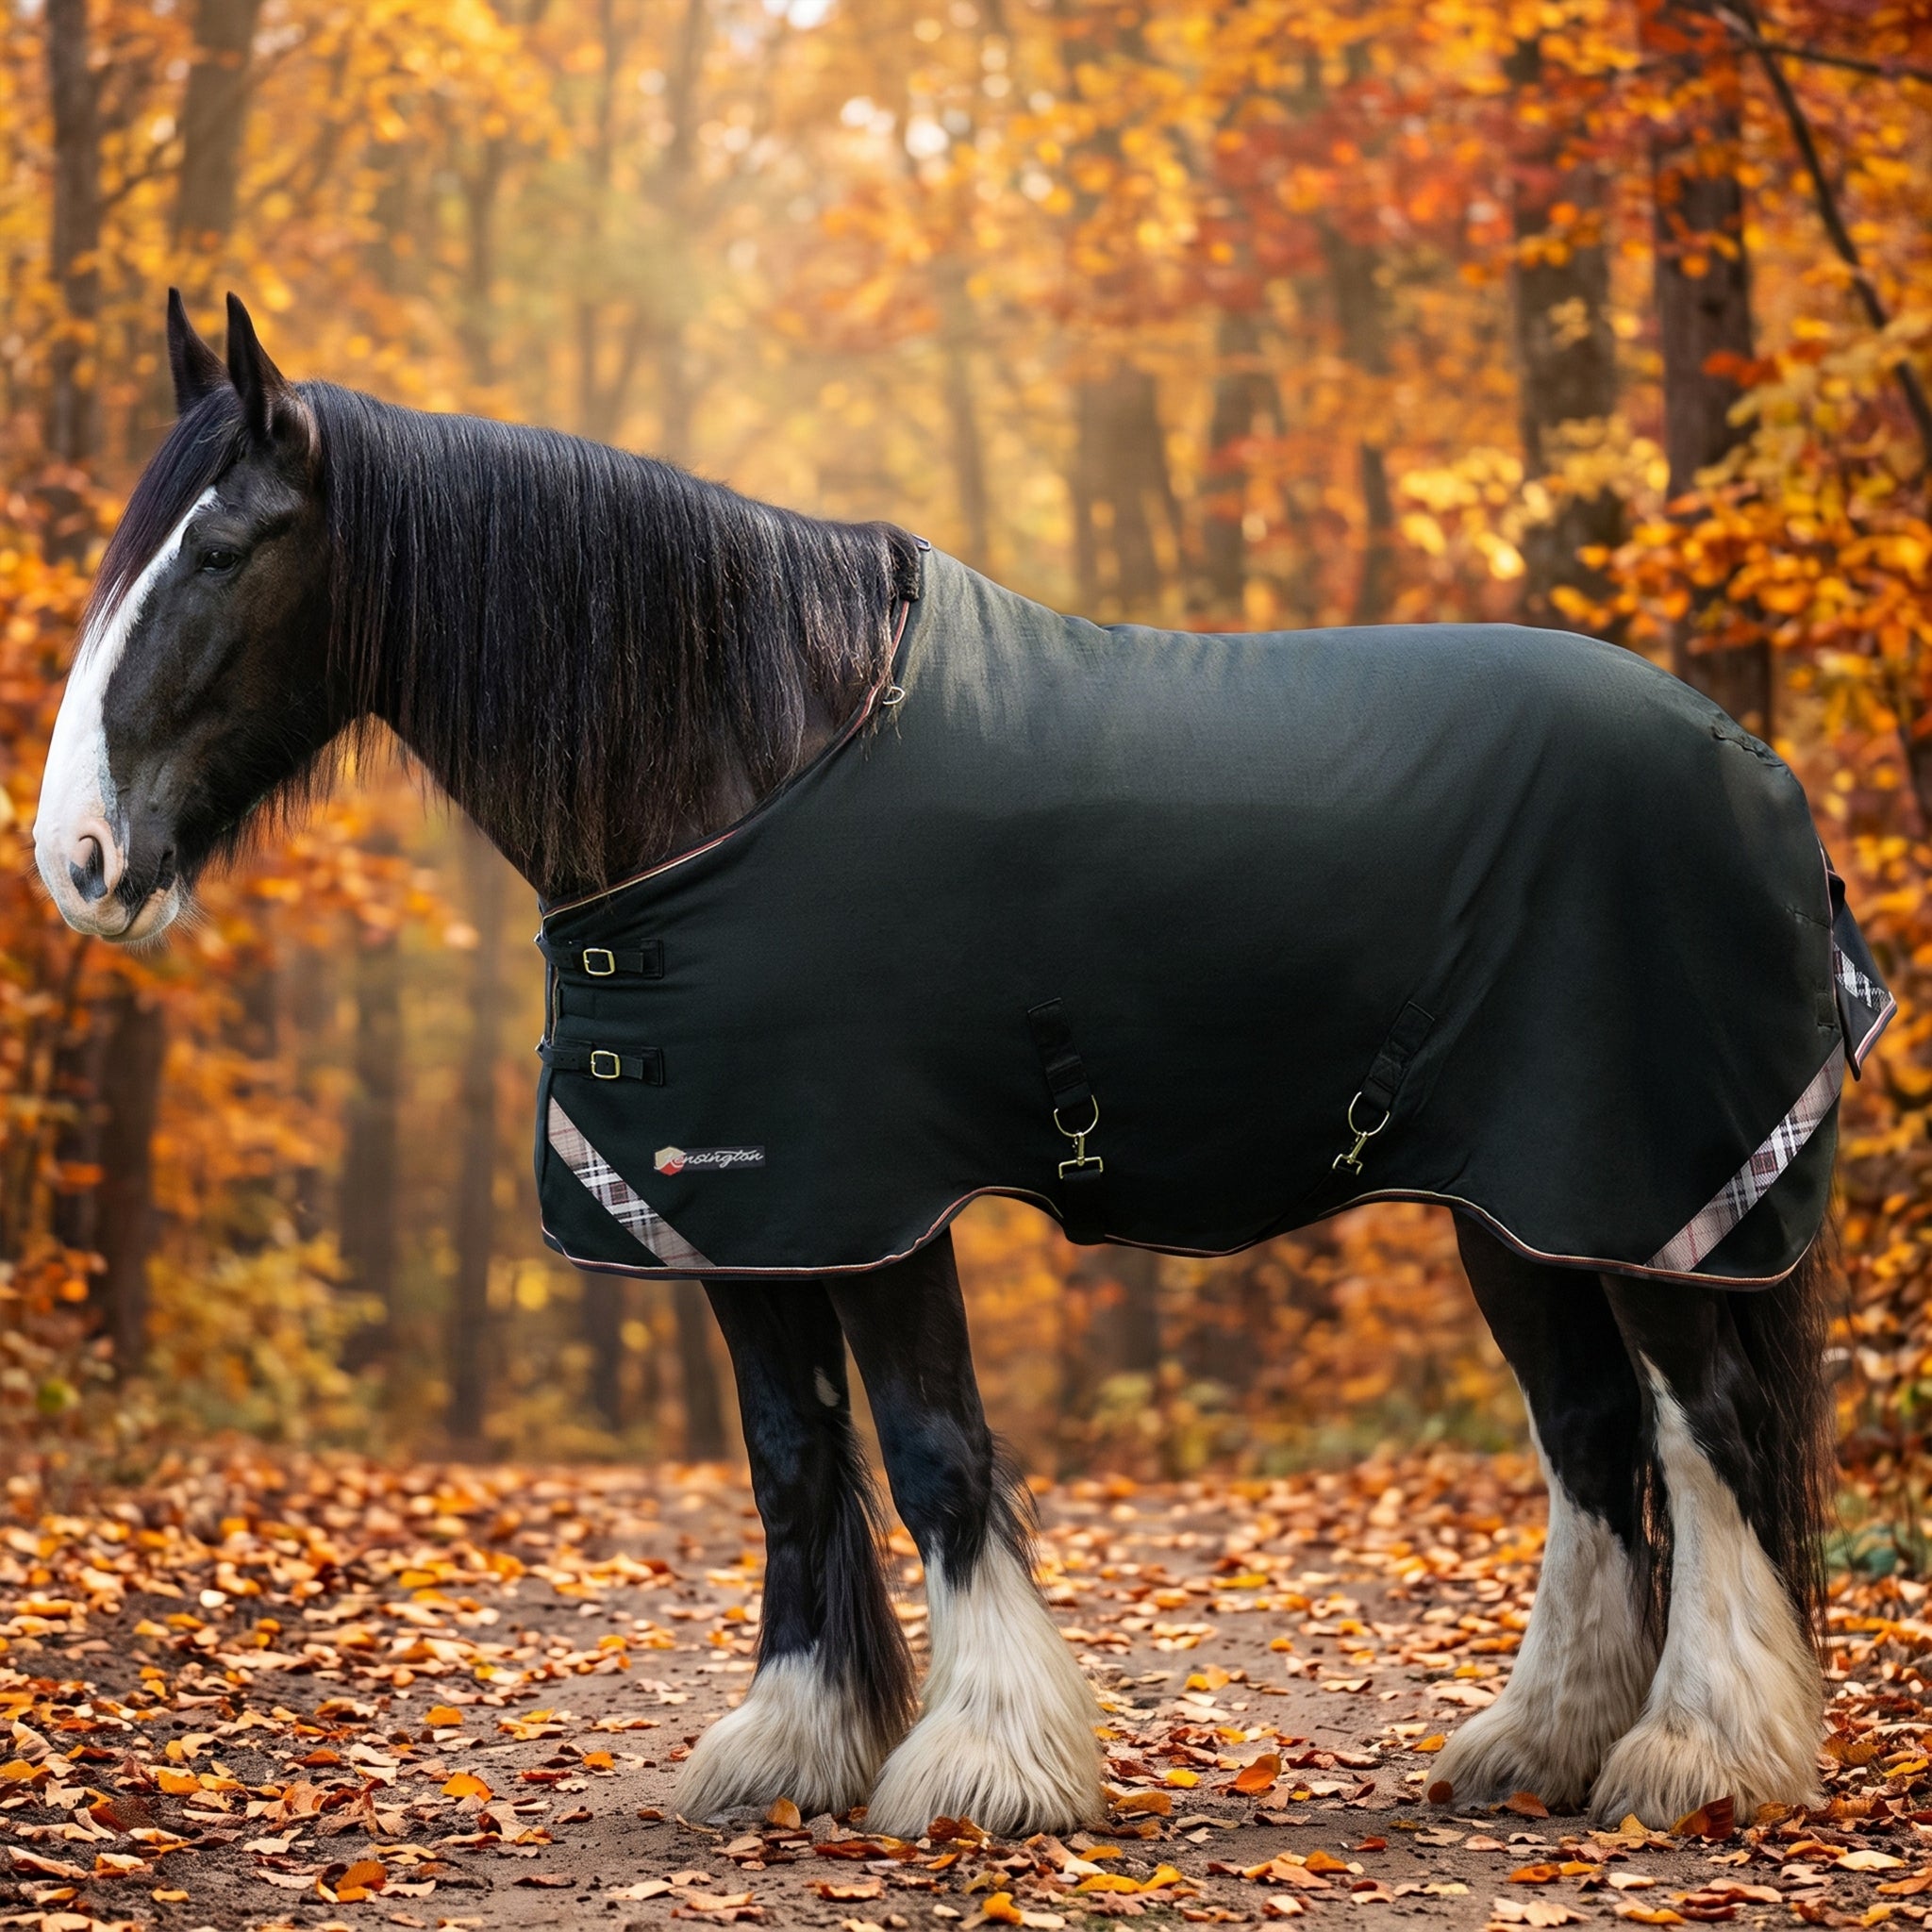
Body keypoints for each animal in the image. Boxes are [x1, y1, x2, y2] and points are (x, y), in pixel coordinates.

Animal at [32, 290, 1883, 1837]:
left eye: (222, 551)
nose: (77, 859)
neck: (749, 754)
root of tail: (1754, 766)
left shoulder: (876, 1198)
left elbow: (932, 1447)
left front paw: (987, 1764)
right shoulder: (740, 1207)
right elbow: (791, 1457)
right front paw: (792, 1746)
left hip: (1644, 1193)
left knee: (1704, 1426)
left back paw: (1699, 1754)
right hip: (1521, 1204)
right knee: (1593, 1435)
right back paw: (1543, 1745)